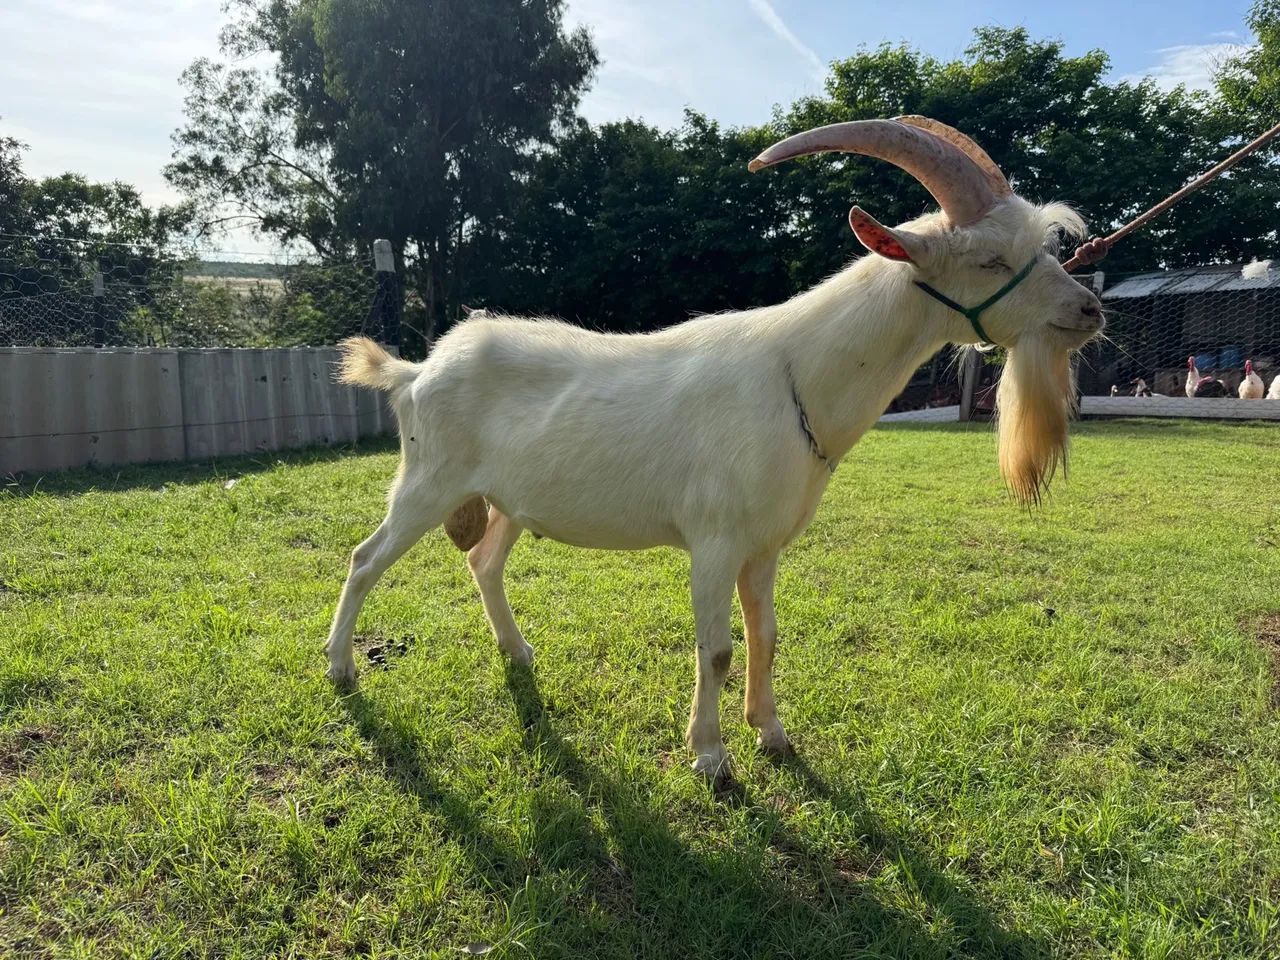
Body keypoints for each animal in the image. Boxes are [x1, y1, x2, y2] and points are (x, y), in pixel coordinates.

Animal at [328, 117, 1104, 782]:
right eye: (990, 260)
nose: (1089, 309)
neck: (795, 377)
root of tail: (416, 372)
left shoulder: (764, 545)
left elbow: (766, 636)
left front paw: (772, 733)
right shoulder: (714, 540)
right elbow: (720, 648)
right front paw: (710, 756)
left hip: (507, 499)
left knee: (484, 562)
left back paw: (517, 653)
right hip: (428, 480)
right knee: (365, 558)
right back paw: (340, 668)